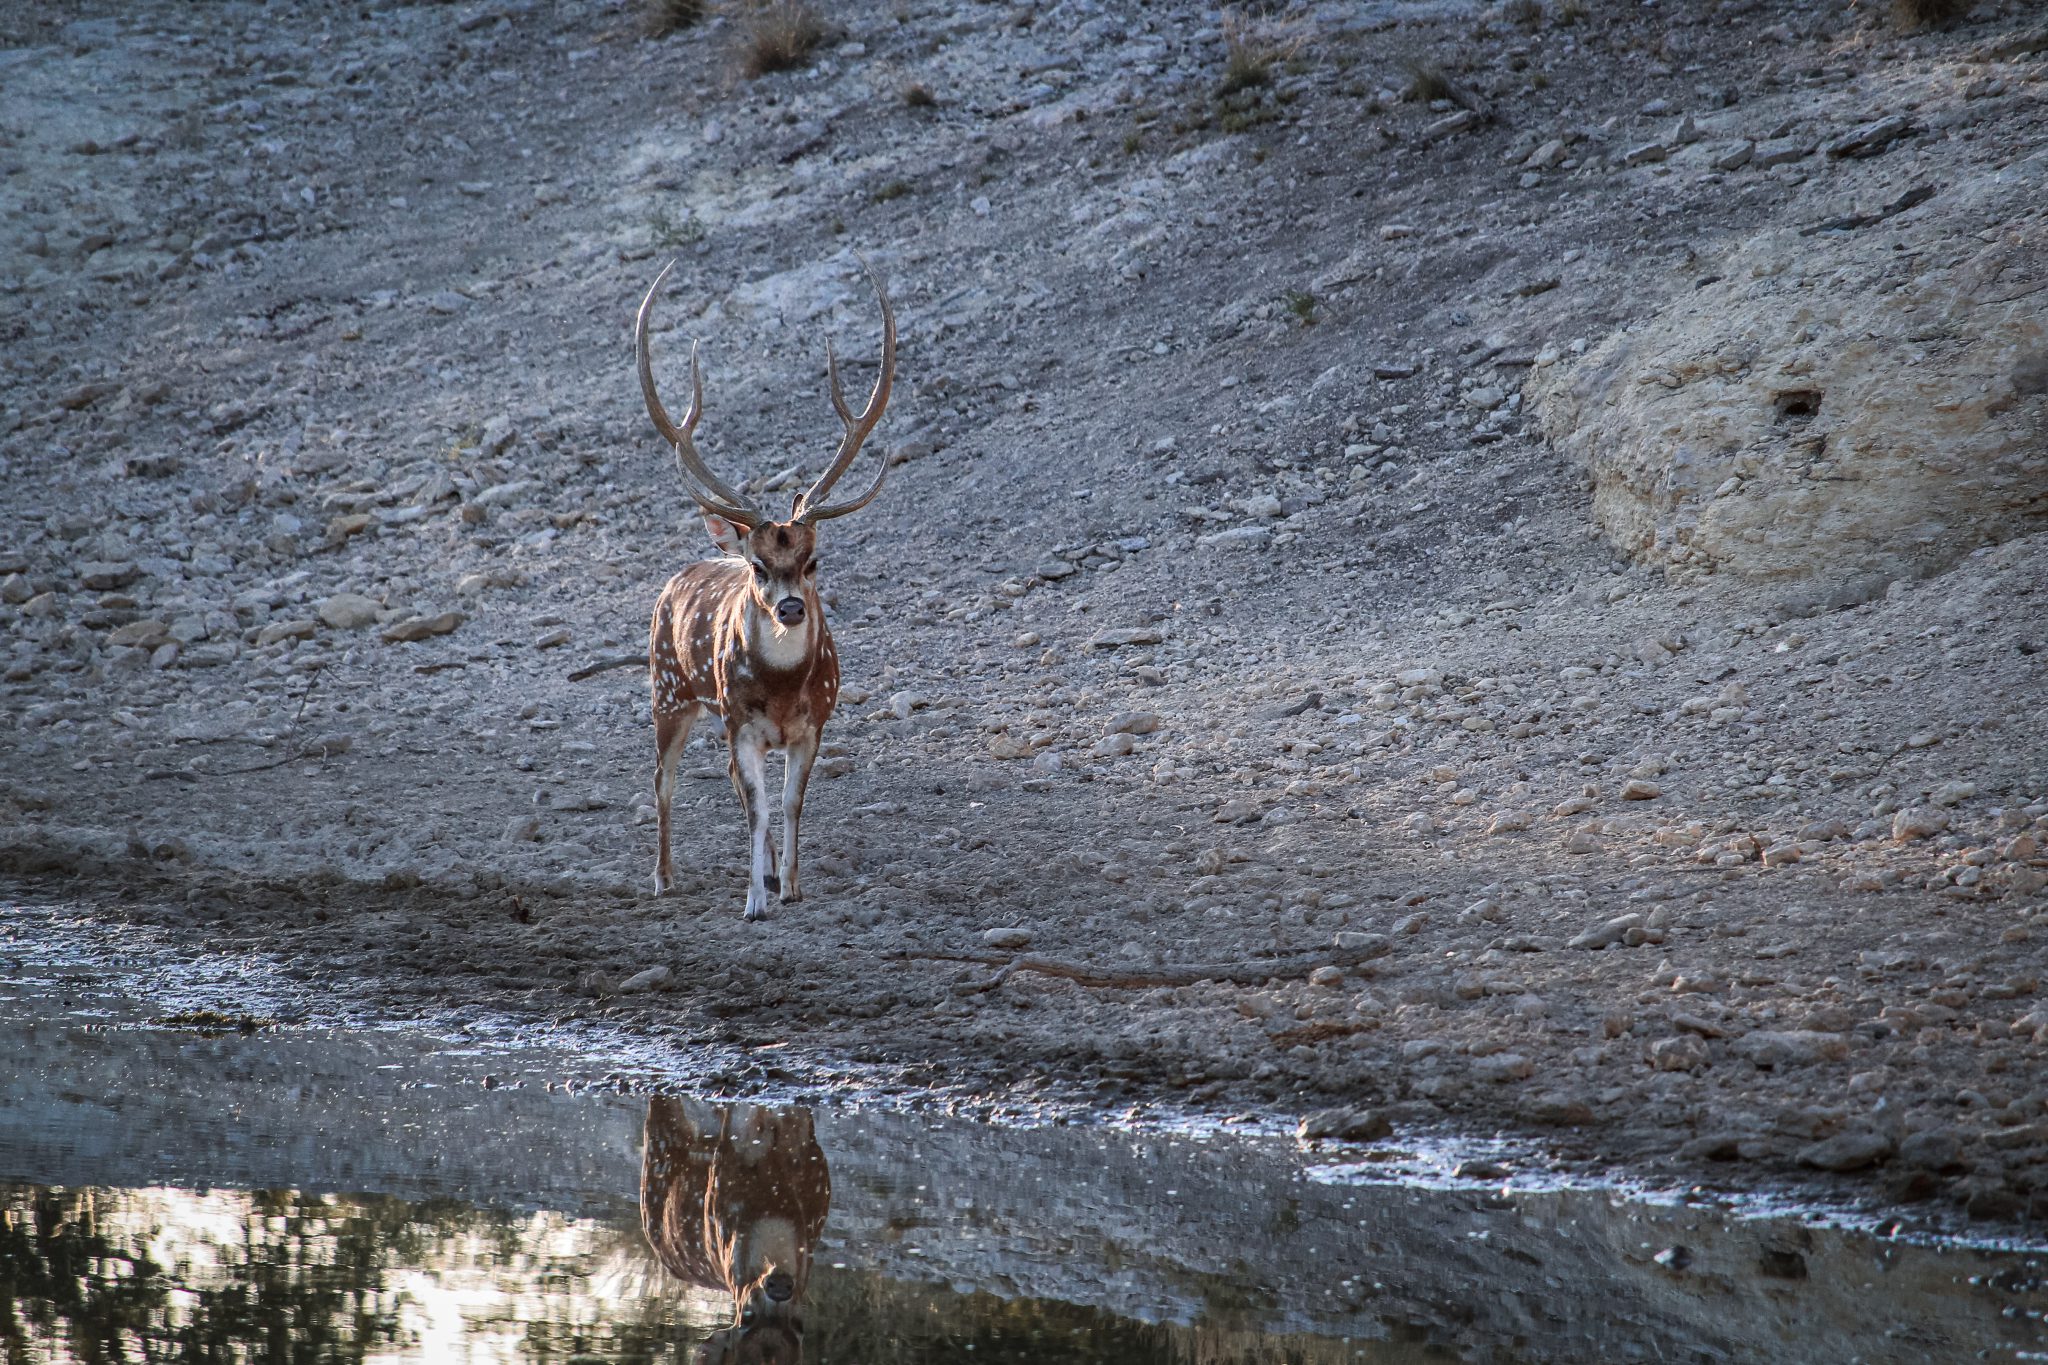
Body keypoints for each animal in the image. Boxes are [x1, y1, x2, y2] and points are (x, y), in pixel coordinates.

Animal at [638, 258, 897, 916]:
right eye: (758, 565)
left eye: (813, 560)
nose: (790, 608)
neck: (780, 692)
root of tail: (676, 578)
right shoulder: (740, 722)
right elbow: (755, 810)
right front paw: (753, 899)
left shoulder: (814, 723)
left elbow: (787, 803)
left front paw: (793, 885)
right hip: (668, 691)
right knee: (663, 779)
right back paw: (664, 876)